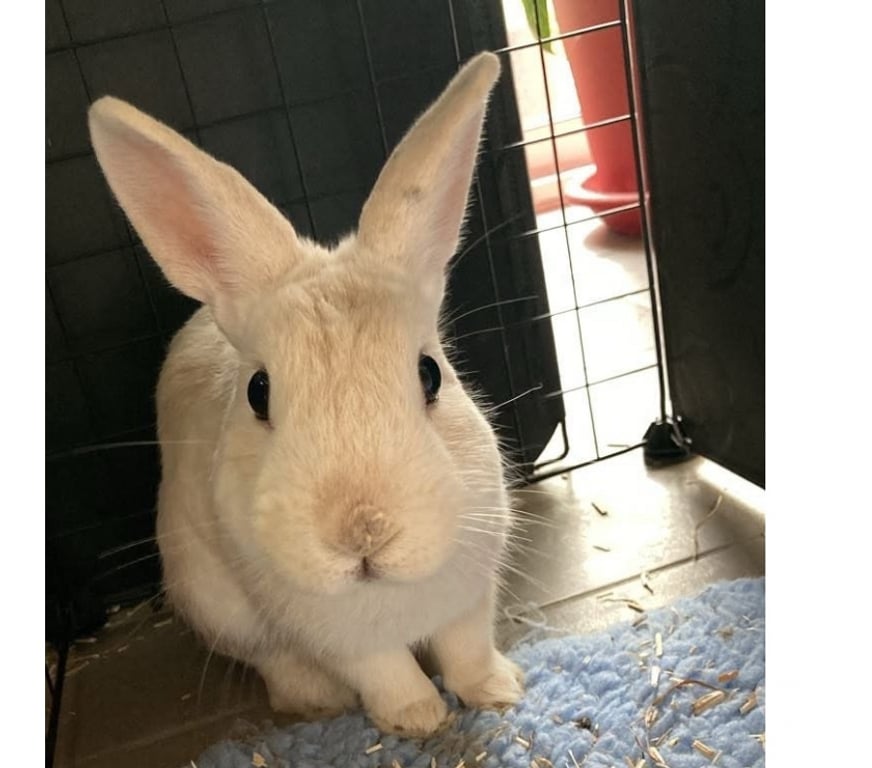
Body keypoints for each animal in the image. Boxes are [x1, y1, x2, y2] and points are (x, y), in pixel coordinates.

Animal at [87, 51, 524, 737]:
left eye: (430, 374)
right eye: (258, 392)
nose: (363, 532)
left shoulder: (471, 590)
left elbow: (467, 650)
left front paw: (499, 693)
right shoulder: (335, 635)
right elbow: (385, 671)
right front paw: (419, 721)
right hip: (216, 603)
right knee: (274, 665)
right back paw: (319, 701)